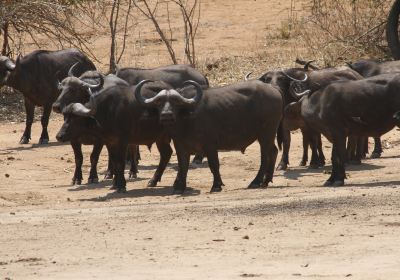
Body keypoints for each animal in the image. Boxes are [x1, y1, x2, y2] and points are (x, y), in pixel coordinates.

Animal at [136, 80, 282, 194]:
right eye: (159, 103)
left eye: (176, 102)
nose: (166, 115)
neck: (188, 120)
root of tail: (274, 89)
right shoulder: (181, 146)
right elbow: (183, 166)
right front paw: (180, 187)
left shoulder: (210, 145)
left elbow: (214, 164)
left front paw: (217, 185)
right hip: (268, 136)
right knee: (273, 151)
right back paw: (266, 180)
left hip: (266, 134)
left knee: (264, 157)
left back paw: (256, 182)